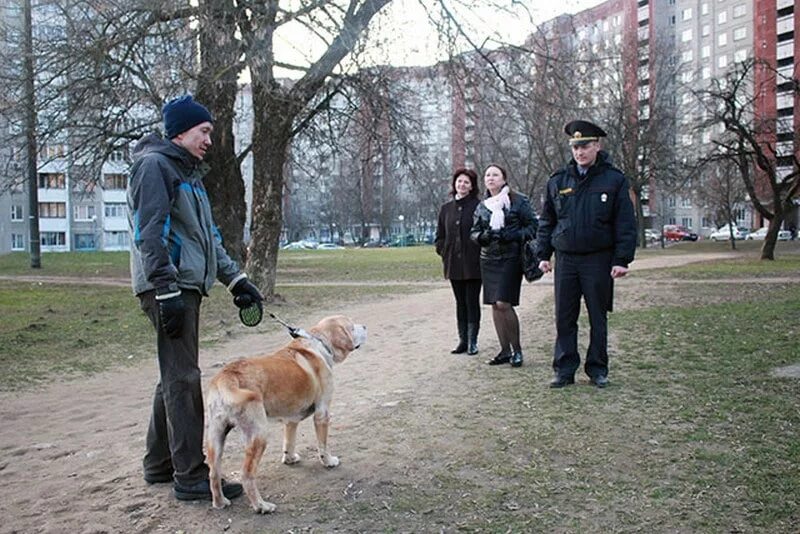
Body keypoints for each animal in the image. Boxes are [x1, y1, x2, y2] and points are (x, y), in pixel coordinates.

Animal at [206, 316, 368, 512]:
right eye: (351, 327)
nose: (365, 326)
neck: (319, 343)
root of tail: (226, 377)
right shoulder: (322, 413)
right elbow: (323, 445)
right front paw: (329, 461)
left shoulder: (291, 420)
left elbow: (289, 442)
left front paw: (289, 459)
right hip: (258, 435)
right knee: (246, 475)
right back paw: (261, 506)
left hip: (216, 437)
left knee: (213, 473)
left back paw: (220, 503)